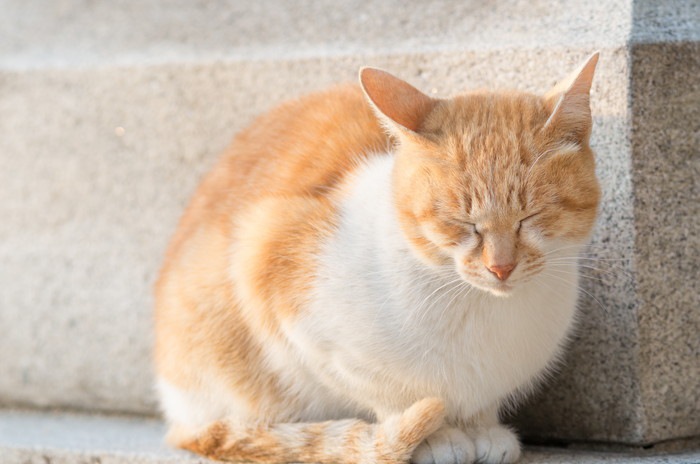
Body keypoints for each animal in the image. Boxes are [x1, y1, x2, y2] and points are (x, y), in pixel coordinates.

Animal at [153, 51, 600, 464]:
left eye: (531, 216)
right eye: (462, 222)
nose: (501, 267)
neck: (479, 307)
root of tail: (175, 413)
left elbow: (481, 404)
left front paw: (482, 429)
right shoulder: (275, 277)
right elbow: (395, 396)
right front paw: (437, 438)